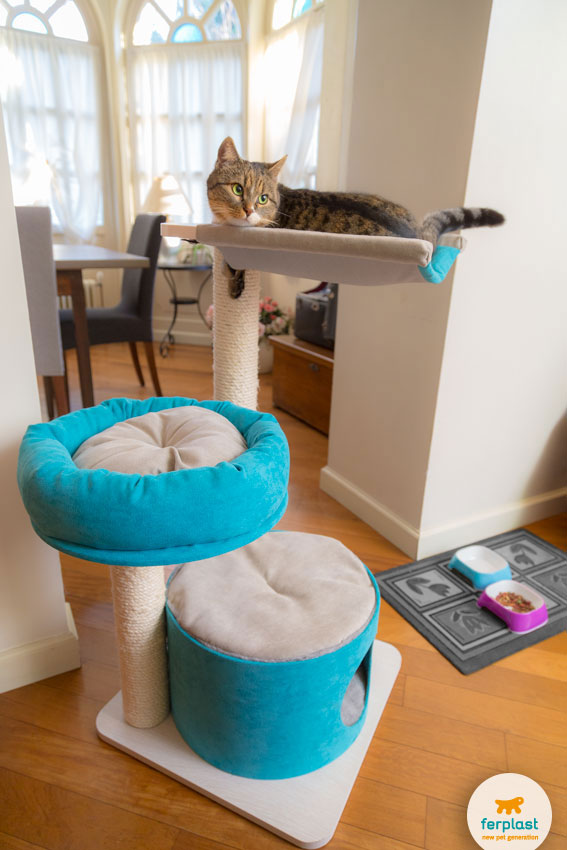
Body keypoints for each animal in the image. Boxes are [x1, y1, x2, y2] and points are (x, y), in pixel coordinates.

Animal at [205, 137, 506, 296]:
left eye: (263, 198)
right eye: (237, 189)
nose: (249, 210)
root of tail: (416, 234)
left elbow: (237, 267)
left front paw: (234, 282)